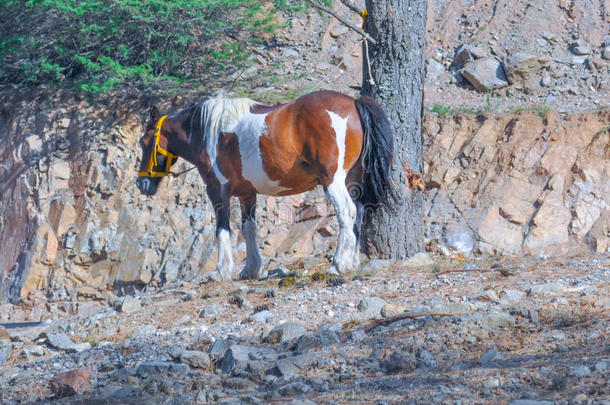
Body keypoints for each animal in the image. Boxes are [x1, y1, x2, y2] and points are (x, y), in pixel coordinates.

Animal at [135, 90, 394, 280]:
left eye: (144, 141)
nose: (141, 183)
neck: (208, 133)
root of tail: (353, 102)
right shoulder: (246, 194)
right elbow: (249, 229)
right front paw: (250, 269)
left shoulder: (218, 191)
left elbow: (223, 229)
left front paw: (221, 271)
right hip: (352, 181)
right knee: (359, 212)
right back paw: (352, 261)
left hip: (333, 180)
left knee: (346, 212)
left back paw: (338, 264)